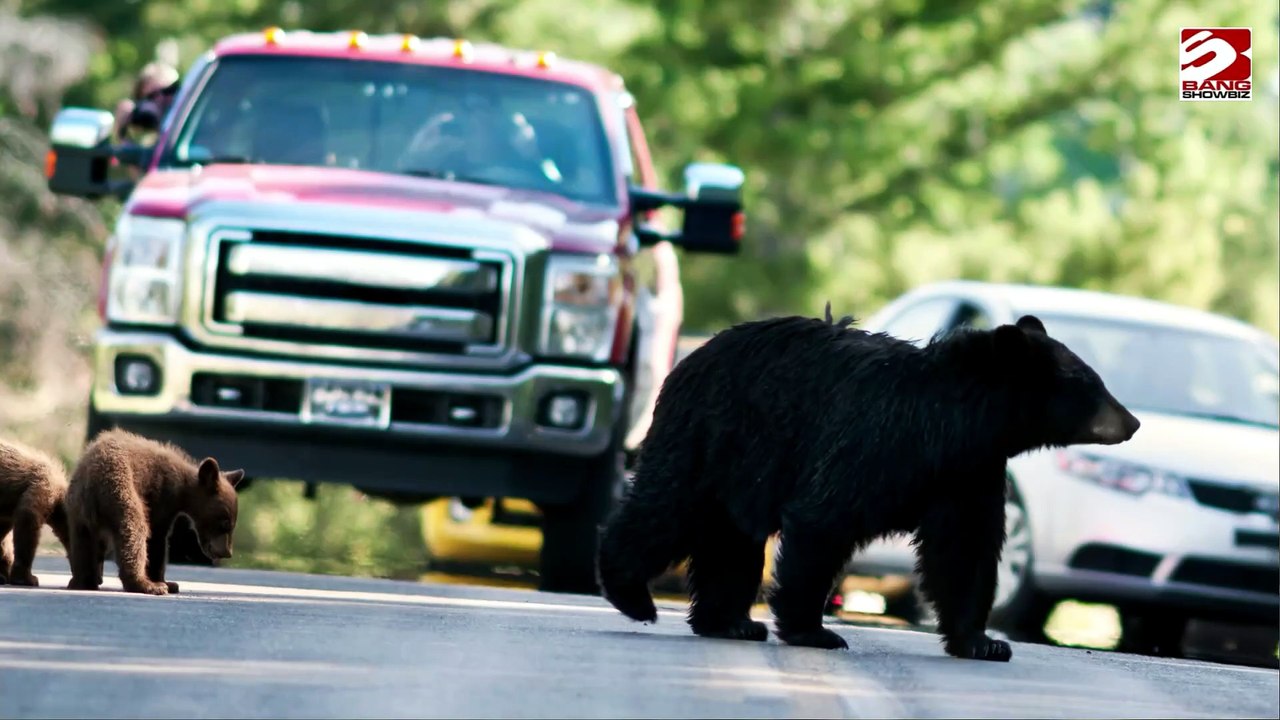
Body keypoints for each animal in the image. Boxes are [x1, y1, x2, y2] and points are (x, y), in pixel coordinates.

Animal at [64, 429, 244, 595]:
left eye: (233, 524)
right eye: (224, 523)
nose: (227, 553)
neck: (182, 487)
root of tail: (92, 481)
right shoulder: (161, 497)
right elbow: (158, 537)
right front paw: (165, 582)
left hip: (78, 511)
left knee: (82, 542)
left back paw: (83, 581)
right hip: (121, 492)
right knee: (135, 532)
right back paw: (146, 585)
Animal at [595, 307, 1140, 662]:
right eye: (1091, 384)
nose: (1132, 422)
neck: (957, 425)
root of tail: (692, 353)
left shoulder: (968, 473)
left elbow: (965, 549)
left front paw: (983, 641)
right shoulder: (875, 441)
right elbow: (825, 518)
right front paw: (814, 631)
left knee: (730, 541)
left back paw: (730, 621)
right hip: (712, 435)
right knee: (668, 507)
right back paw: (632, 594)